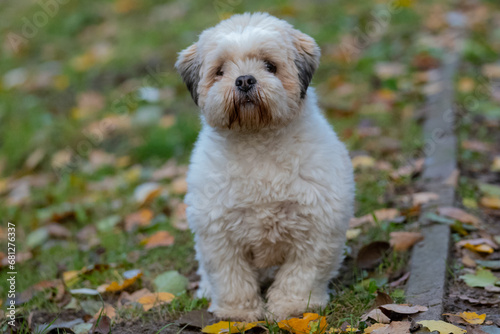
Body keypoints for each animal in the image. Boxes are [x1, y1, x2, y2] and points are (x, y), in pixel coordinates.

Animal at [176, 12, 356, 320]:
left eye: (270, 66)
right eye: (220, 71)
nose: (245, 80)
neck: (257, 140)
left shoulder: (318, 227)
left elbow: (302, 275)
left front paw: (292, 307)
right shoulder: (218, 233)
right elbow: (231, 278)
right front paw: (238, 313)